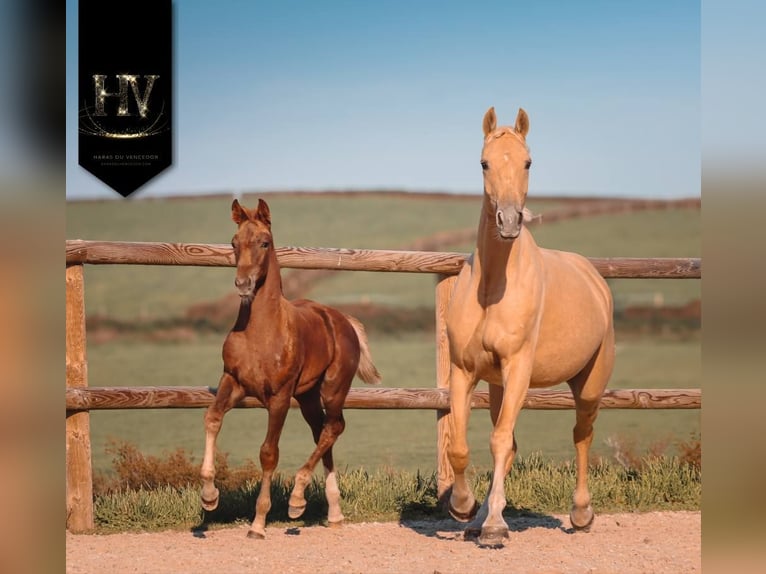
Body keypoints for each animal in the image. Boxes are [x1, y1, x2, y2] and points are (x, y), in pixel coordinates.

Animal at [200, 198, 381, 539]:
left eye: (264, 242)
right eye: (233, 243)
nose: (243, 284)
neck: (260, 332)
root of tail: (343, 321)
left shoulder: (279, 397)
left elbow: (269, 452)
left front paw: (258, 523)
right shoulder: (233, 381)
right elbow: (212, 418)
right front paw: (209, 496)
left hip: (333, 388)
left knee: (334, 427)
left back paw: (298, 500)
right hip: (308, 397)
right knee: (322, 432)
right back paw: (333, 512)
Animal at [445, 107, 615, 547]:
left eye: (528, 162)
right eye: (484, 163)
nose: (508, 222)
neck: (492, 287)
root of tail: (594, 277)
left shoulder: (519, 368)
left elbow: (500, 440)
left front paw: (494, 526)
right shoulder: (464, 371)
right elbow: (462, 446)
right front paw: (465, 508)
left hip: (589, 385)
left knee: (581, 434)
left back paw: (581, 513)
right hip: (497, 386)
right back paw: (480, 516)